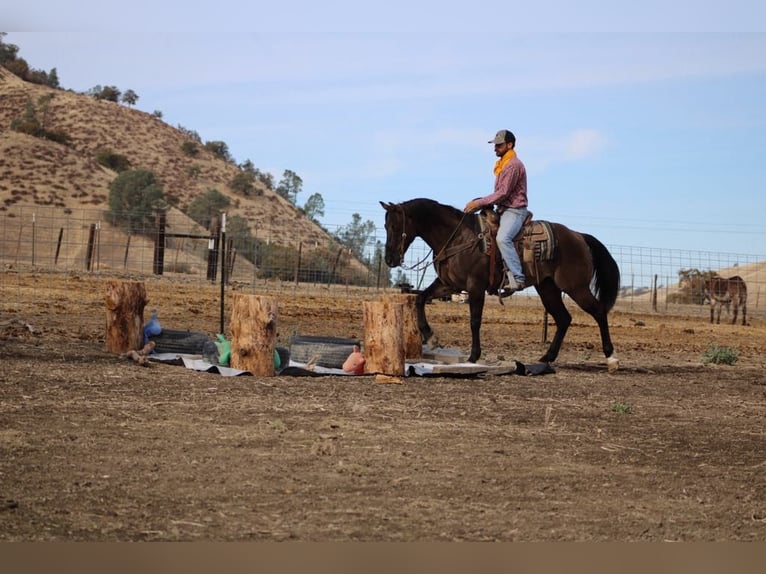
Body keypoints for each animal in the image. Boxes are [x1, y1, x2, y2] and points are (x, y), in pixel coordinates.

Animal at [380, 198, 621, 370]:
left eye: (395, 225)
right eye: (385, 225)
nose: (389, 259)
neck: (458, 237)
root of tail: (578, 236)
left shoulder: (475, 286)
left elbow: (474, 321)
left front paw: (473, 355)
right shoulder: (449, 285)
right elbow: (420, 299)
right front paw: (431, 337)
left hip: (575, 287)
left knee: (599, 312)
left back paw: (611, 358)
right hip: (547, 288)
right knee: (564, 319)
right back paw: (546, 357)